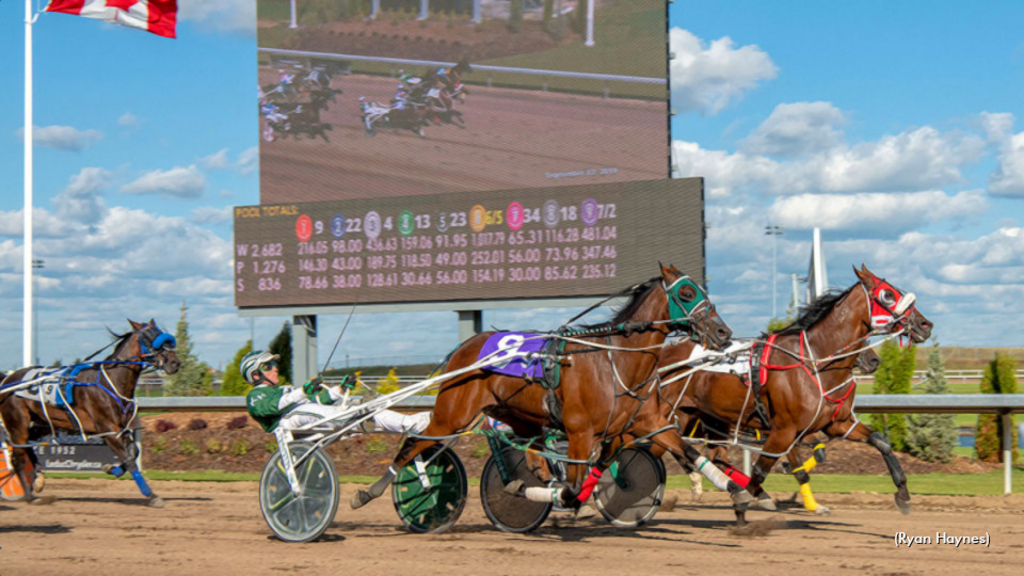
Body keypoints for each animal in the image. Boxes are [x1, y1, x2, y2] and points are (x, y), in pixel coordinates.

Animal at [0, 319, 179, 504]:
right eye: (150, 339)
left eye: (166, 339)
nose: (175, 363)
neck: (111, 382)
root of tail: (7, 379)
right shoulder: (108, 430)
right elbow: (129, 461)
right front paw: (151, 495)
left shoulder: (122, 428)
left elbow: (133, 453)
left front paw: (111, 468)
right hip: (18, 424)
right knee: (17, 459)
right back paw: (29, 496)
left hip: (40, 424)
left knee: (27, 447)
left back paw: (38, 481)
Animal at [352, 262, 761, 512]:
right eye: (688, 294)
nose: (722, 332)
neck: (614, 361)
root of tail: (464, 347)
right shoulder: (580, 433)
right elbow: (574, 486)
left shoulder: (647, 424)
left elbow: (688, 452)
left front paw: (740, 492)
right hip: (452, 415)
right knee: (413, 443)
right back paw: (368, 492)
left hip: (520, 418)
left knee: (531, 457)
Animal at [655, 264, 929, 520]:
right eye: (888, 295)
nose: (926, 324)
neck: (815, 359)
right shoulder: (783, 431)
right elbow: (762, 471)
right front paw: (747, 503)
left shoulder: (836, 423)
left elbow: (880, 442)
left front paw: (903, 495)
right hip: (671, 416)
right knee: (668, 445)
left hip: (709, 419)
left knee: (709, 454)